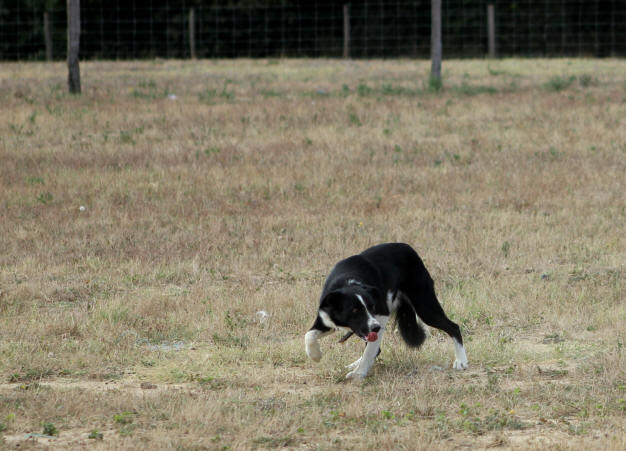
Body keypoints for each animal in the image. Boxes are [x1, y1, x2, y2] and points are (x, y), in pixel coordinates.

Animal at [304, 242, 466, 380]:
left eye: (371, 307)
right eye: (355, 310)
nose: (375, 327)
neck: (348, 283)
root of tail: (408, 248)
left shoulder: (381, 315)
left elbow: (370, 350)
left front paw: (359, 374)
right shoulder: (327, 318)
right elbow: (309, 335)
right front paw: (316, 356)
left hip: (425, 306)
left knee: (453, 327)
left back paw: (461, 361)